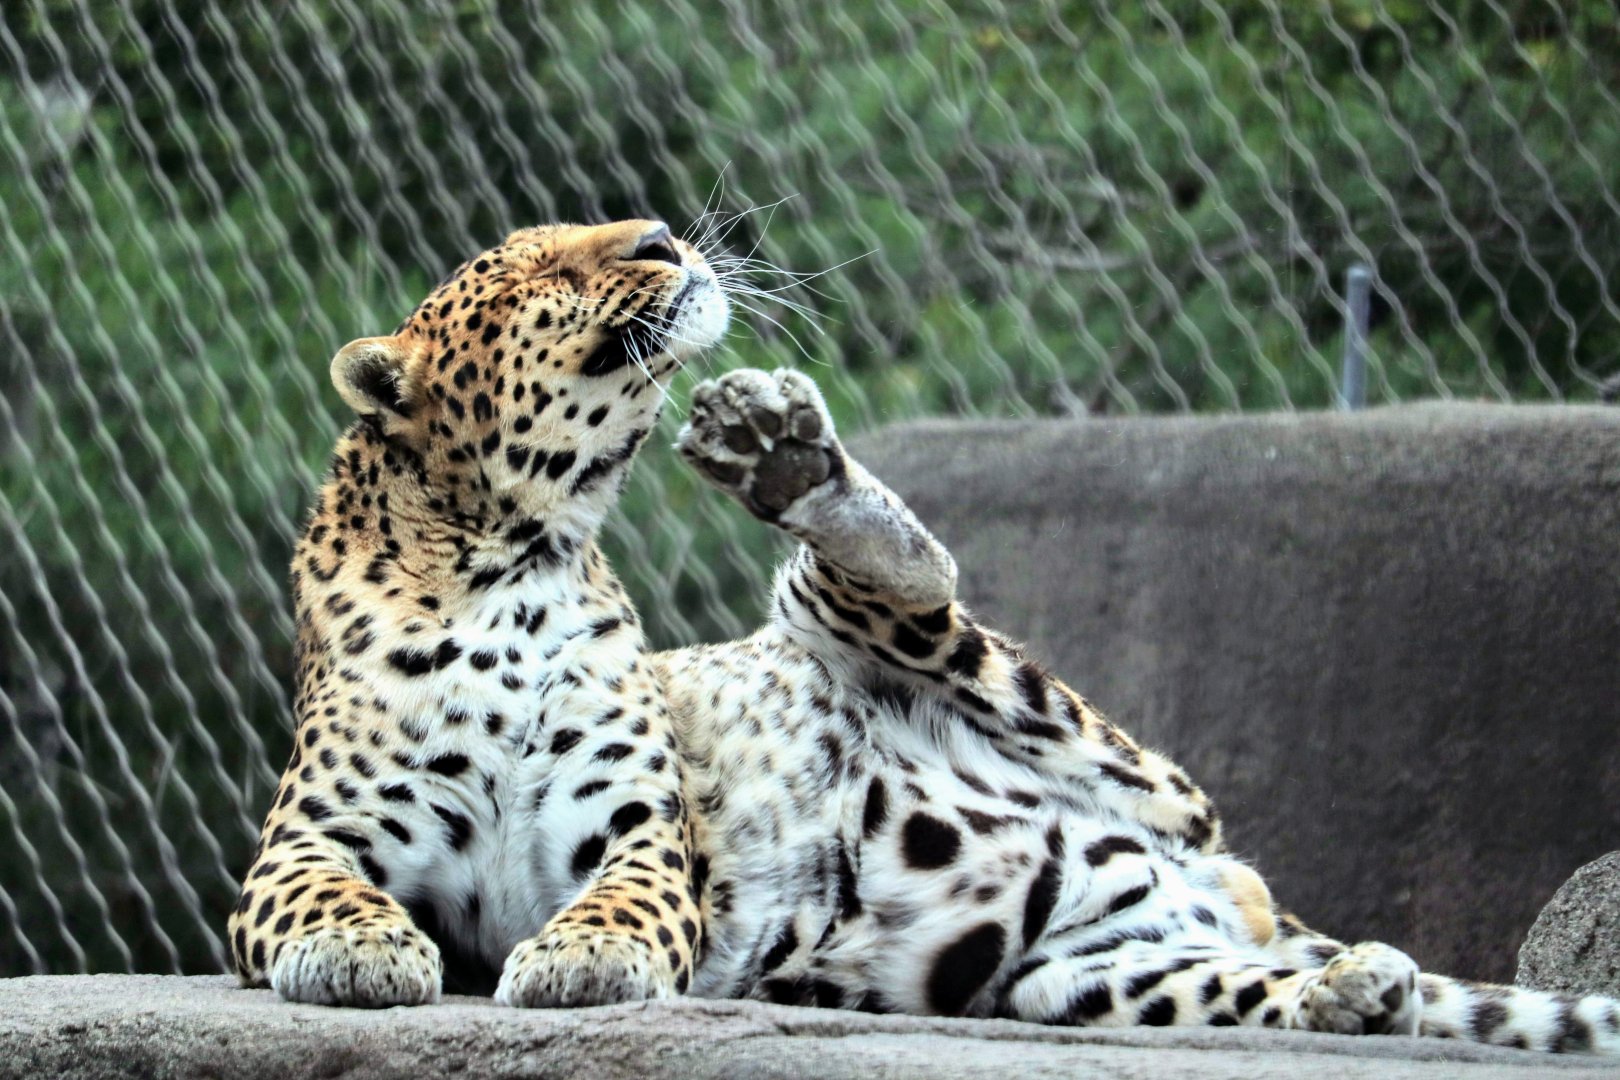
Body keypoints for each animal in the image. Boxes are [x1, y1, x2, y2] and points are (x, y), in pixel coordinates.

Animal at [232, 218, 1620, 1055]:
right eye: (539, 276)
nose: (665, 236)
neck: (510, 561)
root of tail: (1227, 884)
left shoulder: (635, 824)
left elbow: (626, 897)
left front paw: (586, 964)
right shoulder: (302, 838)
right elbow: (316, 891)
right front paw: (362, 951)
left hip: (1061, 734)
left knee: (906, 586)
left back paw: (783, 459)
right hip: (1091, 974)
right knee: (1241, 984)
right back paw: (1354, 993)